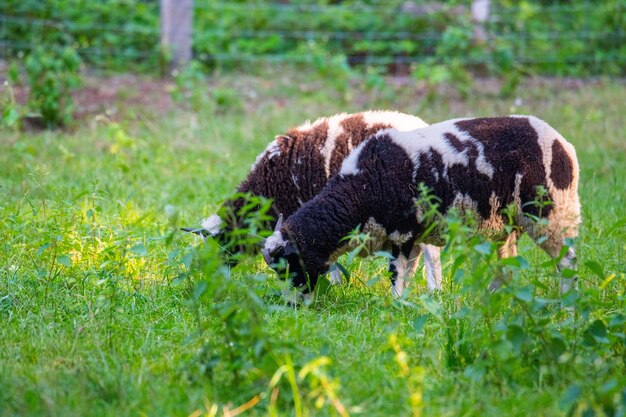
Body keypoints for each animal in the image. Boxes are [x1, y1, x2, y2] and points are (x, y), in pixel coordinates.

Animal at [260, 115, 576, 298]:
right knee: (507, 265)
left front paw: (396, 306)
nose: (295, 305)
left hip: (552, 214)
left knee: (567, 262)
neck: (360, 190)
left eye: (289, 266)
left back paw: (566, 307)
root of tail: (564, 144)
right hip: (506, 224)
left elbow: (396, 274)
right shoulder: (409, 236)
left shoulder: (401, 233)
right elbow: (408, 273)